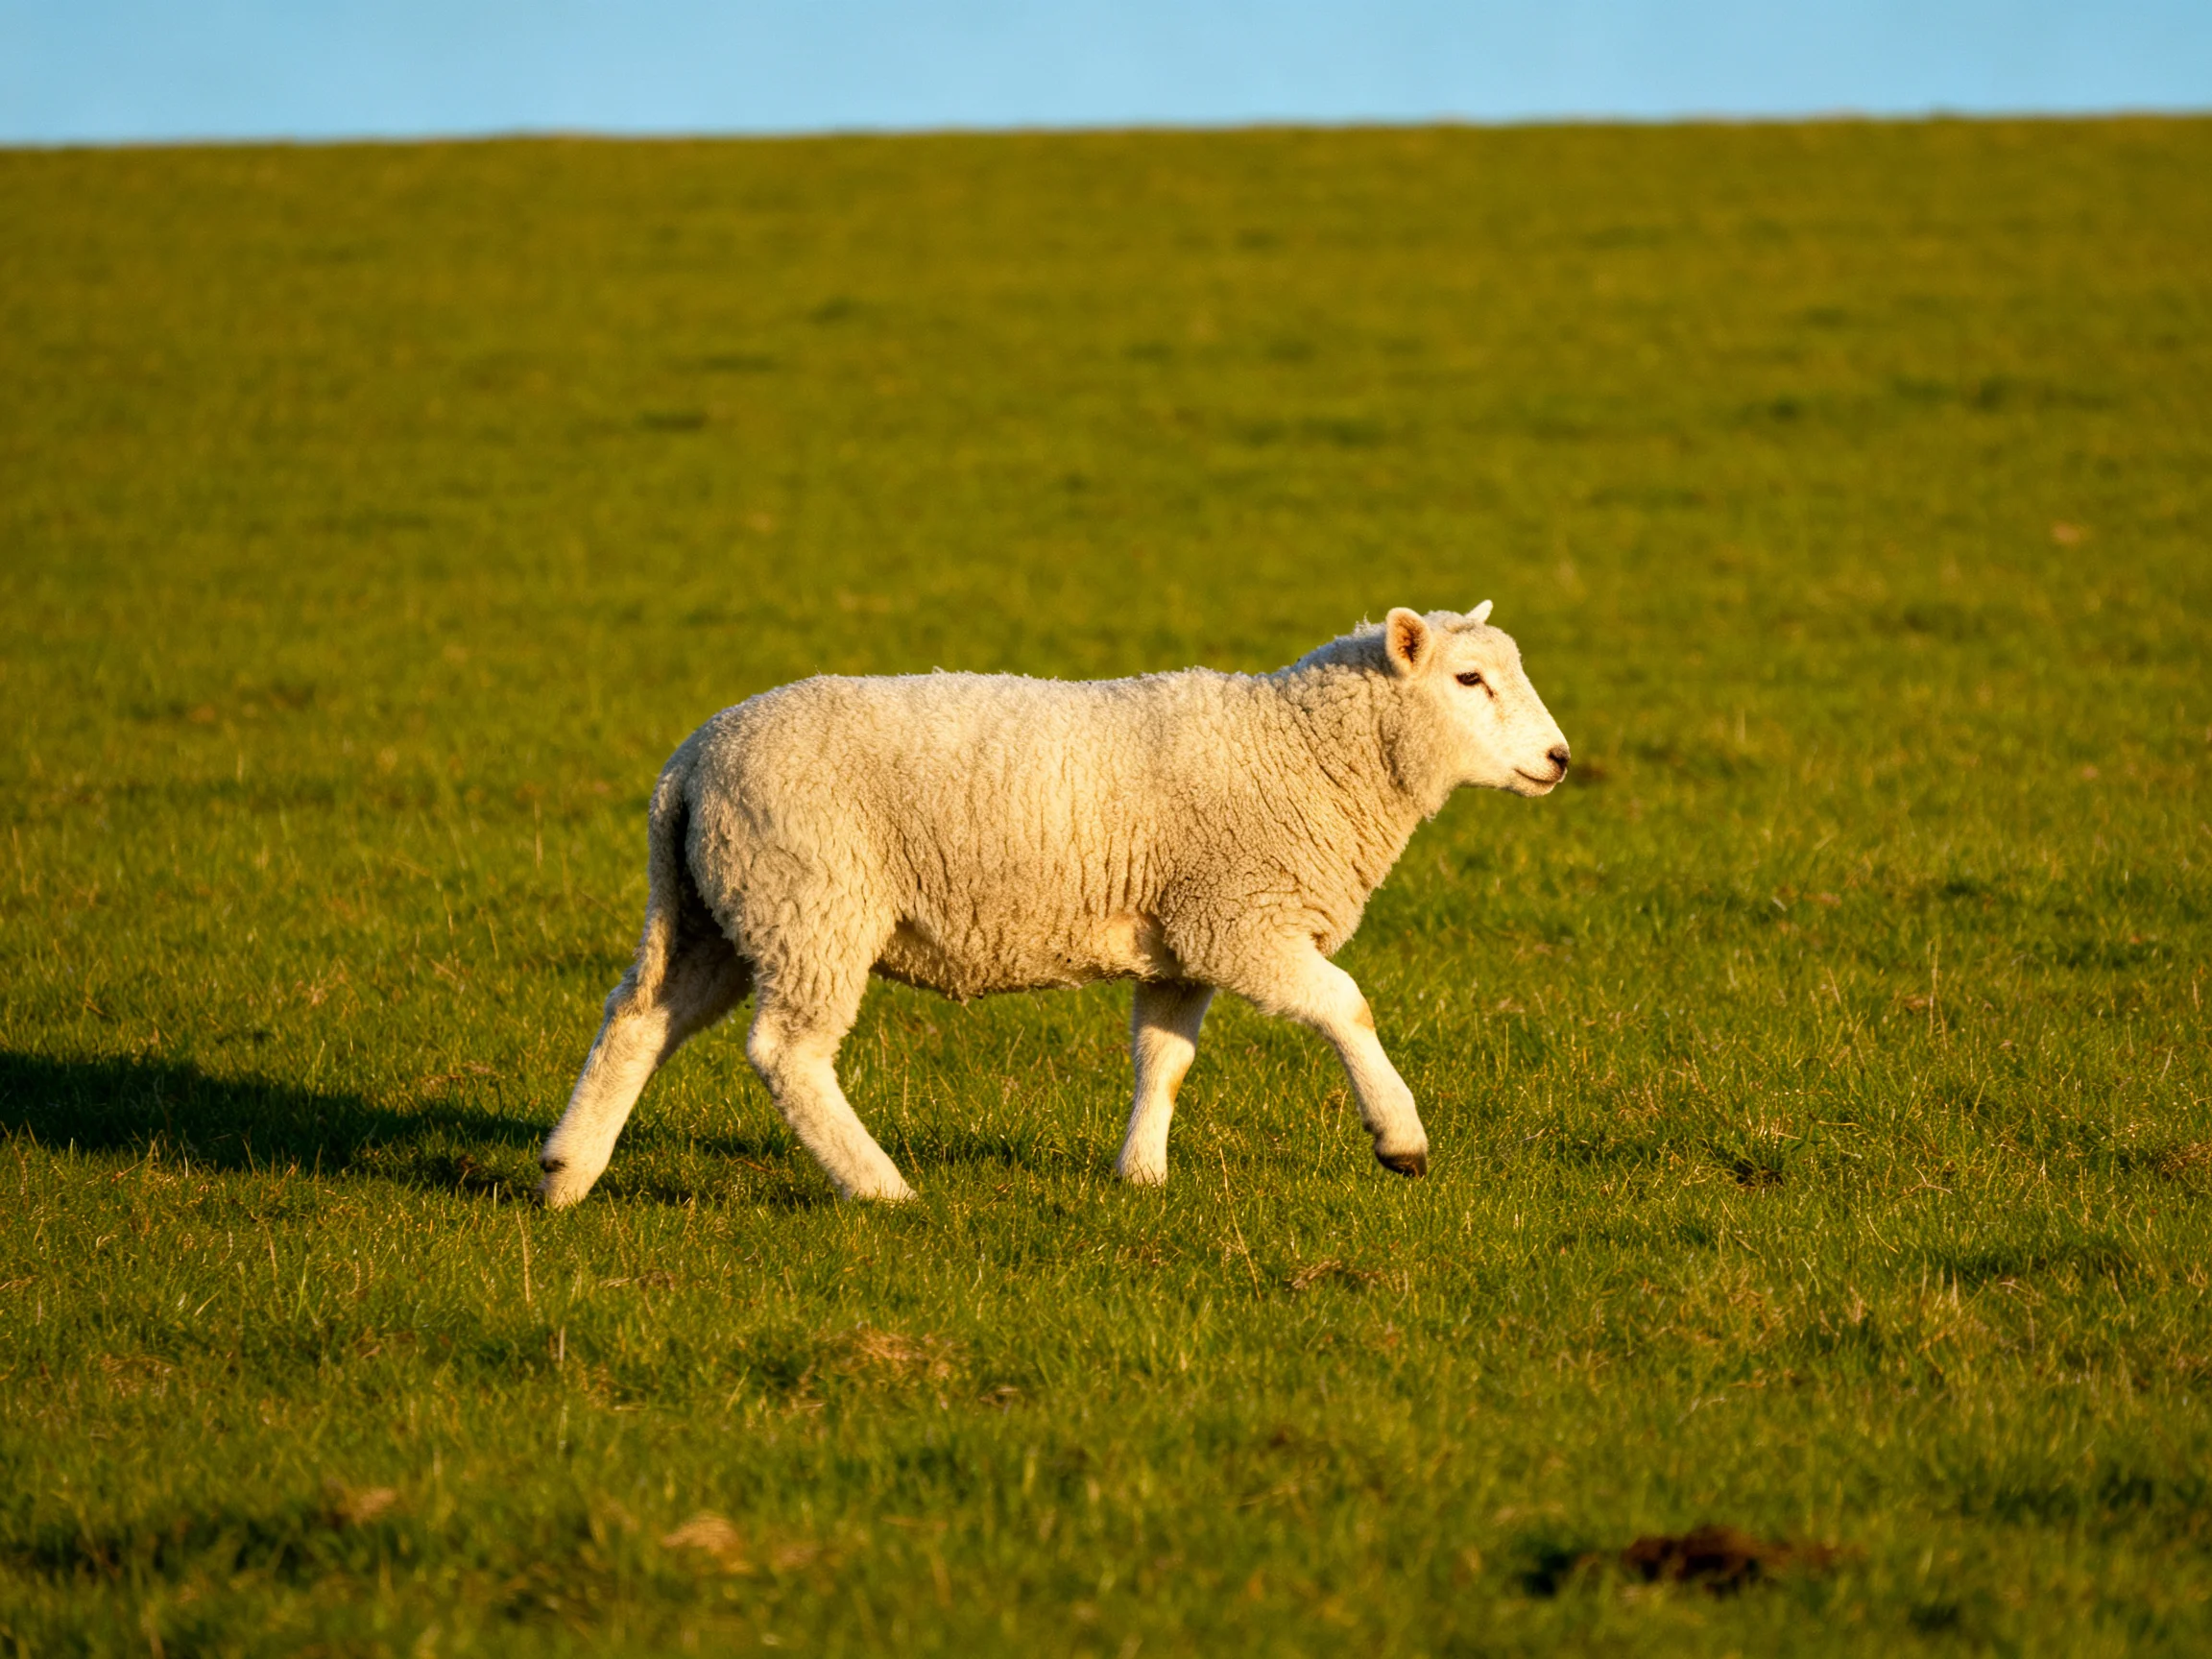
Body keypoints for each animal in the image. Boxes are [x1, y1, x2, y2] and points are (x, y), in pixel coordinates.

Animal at [538, 603, 1570, 1206]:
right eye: (1469, 680)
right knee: (786, 1053)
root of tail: (691, 762)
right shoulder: (1240, 920)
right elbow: (1347, 1006)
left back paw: (566, 1173)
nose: (1560, 760)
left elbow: (1164, 1060)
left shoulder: (1183, 939)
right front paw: (1401, 1139)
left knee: (637, 1018)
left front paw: (1141, 1175)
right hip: (810, 901)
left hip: (717, 907)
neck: (1306, 752)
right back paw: (880, 1188)